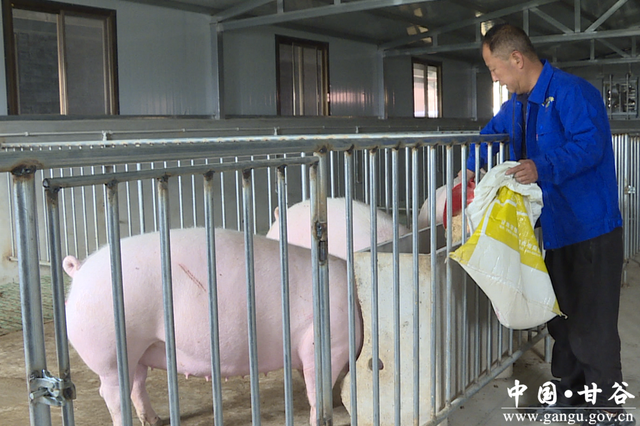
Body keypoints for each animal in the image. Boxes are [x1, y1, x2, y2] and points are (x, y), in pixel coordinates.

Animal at [63, 228, 362, 424]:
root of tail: (80, 268)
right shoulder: (328, 343)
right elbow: (317, 390)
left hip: (135, 349)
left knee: (137, 383)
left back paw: (155, 420)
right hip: (110, 350)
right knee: (112, 394)